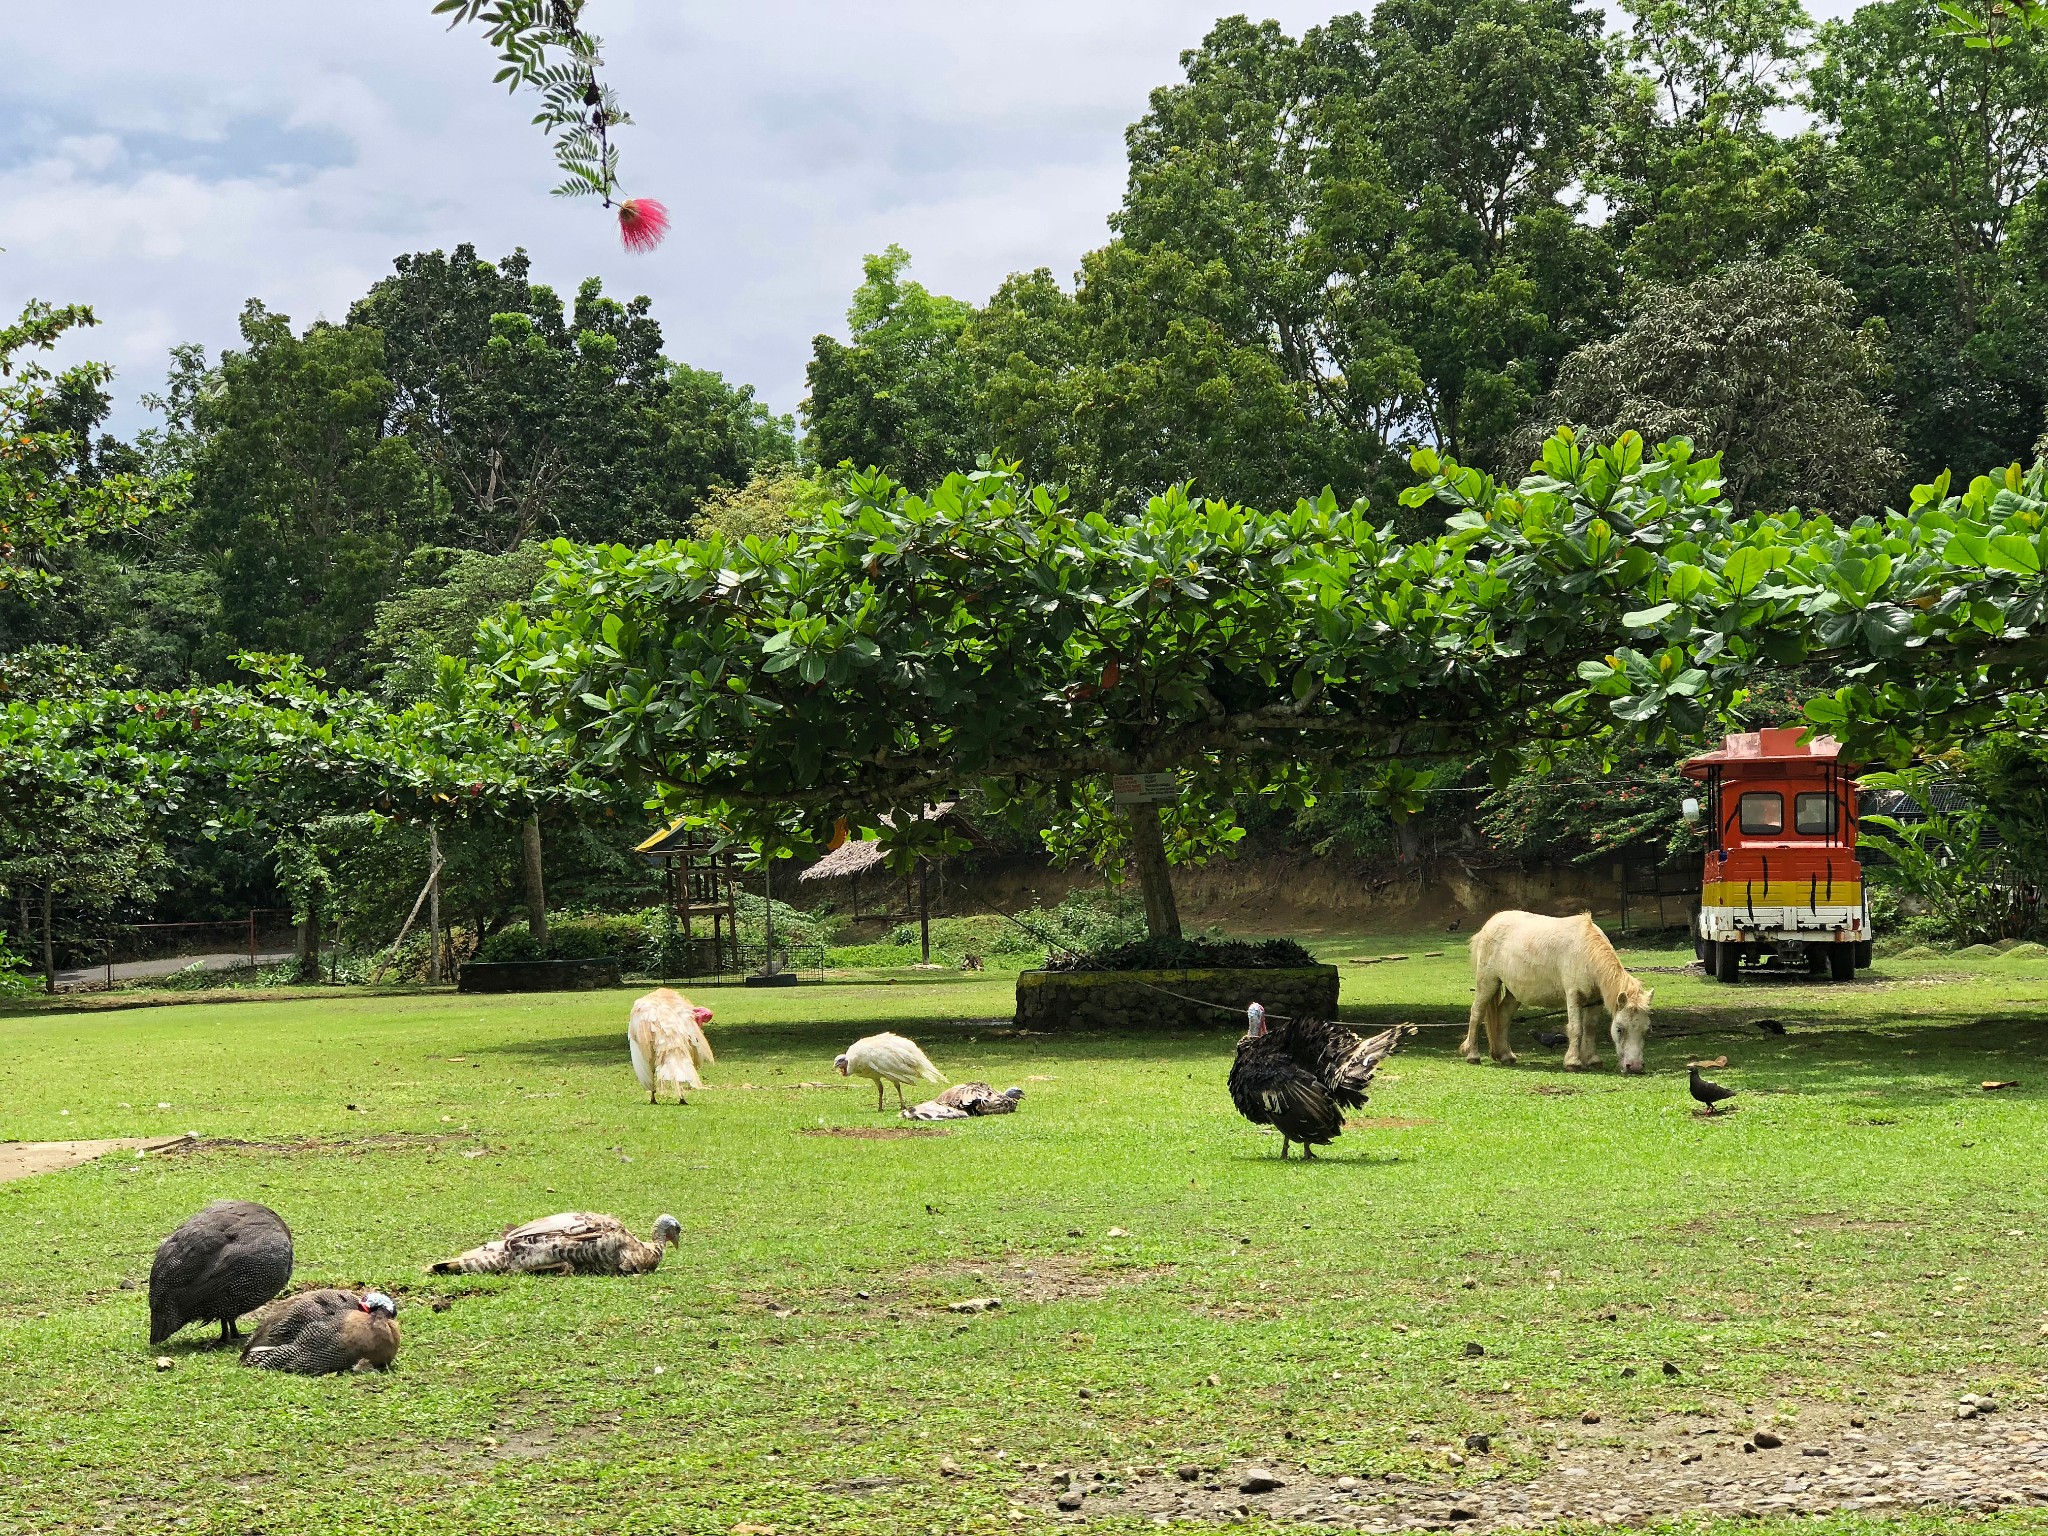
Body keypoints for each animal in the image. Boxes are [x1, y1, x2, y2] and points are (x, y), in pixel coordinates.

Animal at [1466, 909, 1654, 1073]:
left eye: (1646, 1030)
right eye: (1619, 1029)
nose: (1635, 1067)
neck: (1586, 952)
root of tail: (1488, 925)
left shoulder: (1596, 1001)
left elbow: (1590, 1028)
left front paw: (1593, 1060)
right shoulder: (1573, 995)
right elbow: (1576, 1028)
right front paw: (1573, 1063)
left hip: (1515, 992)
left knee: (1504, 1015)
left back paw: (1506, 1056)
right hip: (1488, 983)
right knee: (1477, 1013)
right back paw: (1472, 1055)